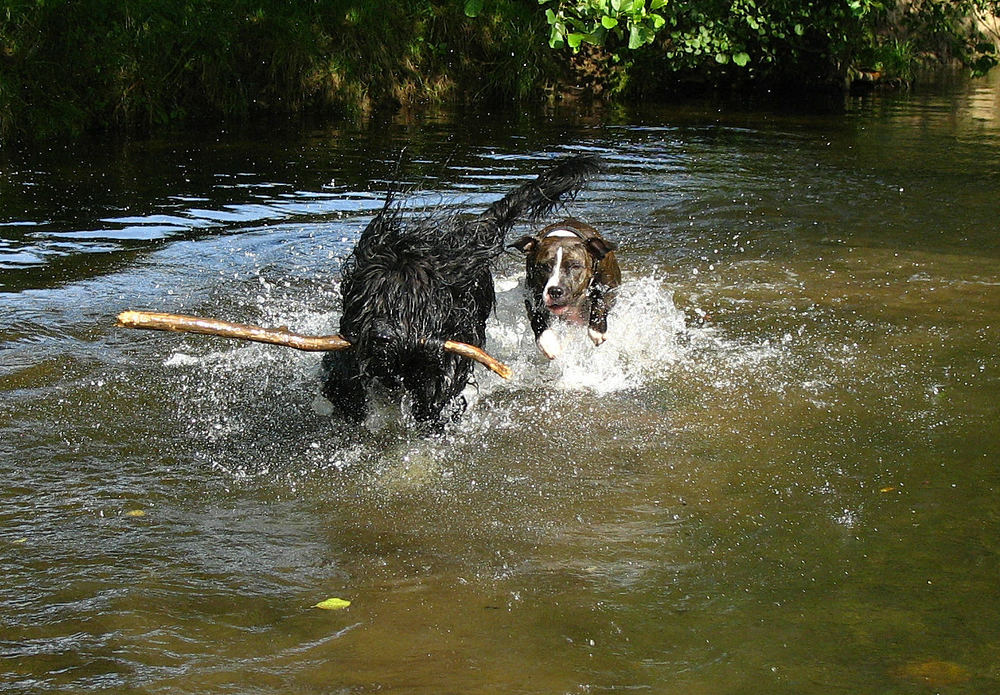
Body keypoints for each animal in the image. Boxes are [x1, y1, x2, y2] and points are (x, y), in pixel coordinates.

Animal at [516, 218, 616, 358]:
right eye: (543, 266)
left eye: (575, 266)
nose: (555, 291)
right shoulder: (530, 294)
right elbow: (536, 317)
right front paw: (547, 341)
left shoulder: (610, 288)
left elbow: (600, 301)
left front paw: (596, 330)